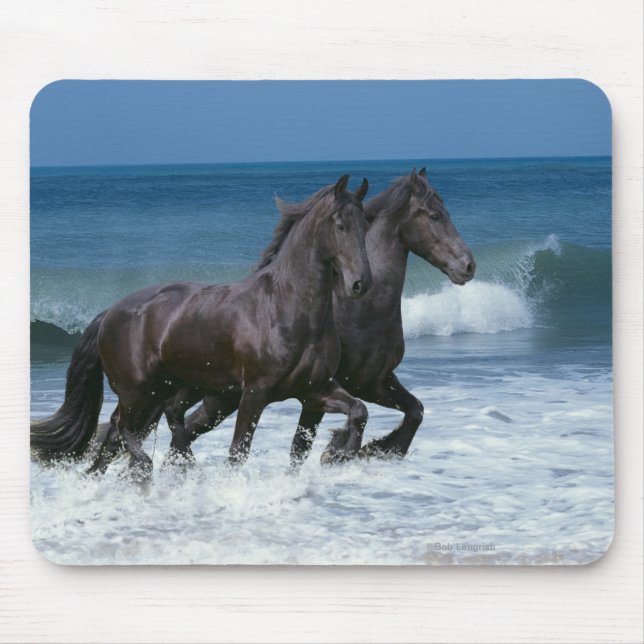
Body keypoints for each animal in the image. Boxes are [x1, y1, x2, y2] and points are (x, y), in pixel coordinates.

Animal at [31, 175, 373, 479]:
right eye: (340, 225)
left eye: (366, 225)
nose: (361, 283)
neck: (287, 311)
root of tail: (109, 312)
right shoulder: (256, 394)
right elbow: (238, 452)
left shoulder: (313, 392)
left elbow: (348, 417)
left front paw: (339, 452)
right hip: (138, 391)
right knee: (122, 427)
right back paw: (149, 468)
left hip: (182, 388)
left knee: (141, 427)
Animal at [127, 167, 475, 468]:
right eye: (434, 215)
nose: (468, 265)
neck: (363, 312)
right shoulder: (321, 396)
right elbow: (300, 449)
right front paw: (338, 450)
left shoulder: (375, 383)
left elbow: (415, 410)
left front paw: (374, 449)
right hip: (218, 399)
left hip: (220, 397)